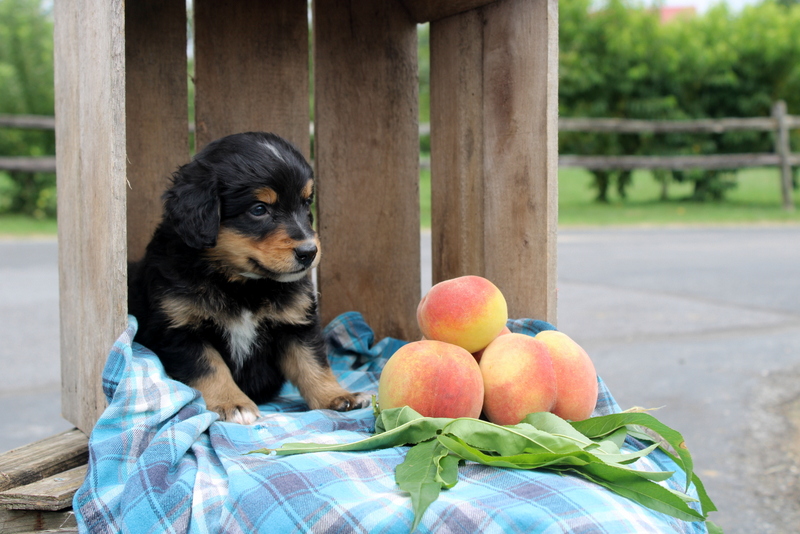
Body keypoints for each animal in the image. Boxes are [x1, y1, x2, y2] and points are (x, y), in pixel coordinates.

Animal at [129, 132, 372, 426]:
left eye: (305, 203)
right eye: (258, 209)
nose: (309, 252)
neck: (243, 285)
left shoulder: (295, 324)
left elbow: (312, 362)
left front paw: (336, 396)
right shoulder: (180, 329)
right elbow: (210, 367)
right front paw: (232, 403)